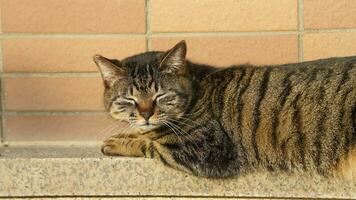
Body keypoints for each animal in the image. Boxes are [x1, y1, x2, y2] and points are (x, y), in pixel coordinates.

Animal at [93, 39, 354, 179]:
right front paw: (127, 133)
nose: (146, 114)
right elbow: (145, 134)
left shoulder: (207, 151)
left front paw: (119, 142)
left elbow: (151, 144)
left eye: (161, 96)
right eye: (130, 99)